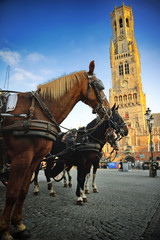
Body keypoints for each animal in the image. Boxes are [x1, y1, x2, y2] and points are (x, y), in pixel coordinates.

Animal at [0, 60, 109, 240]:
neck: (38, 111)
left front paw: (19, 226)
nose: (107, 109)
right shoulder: (22, 158)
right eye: (99, 86)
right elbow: (12, 194)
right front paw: (5, 232)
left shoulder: (34, 159)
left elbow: (22, 191)